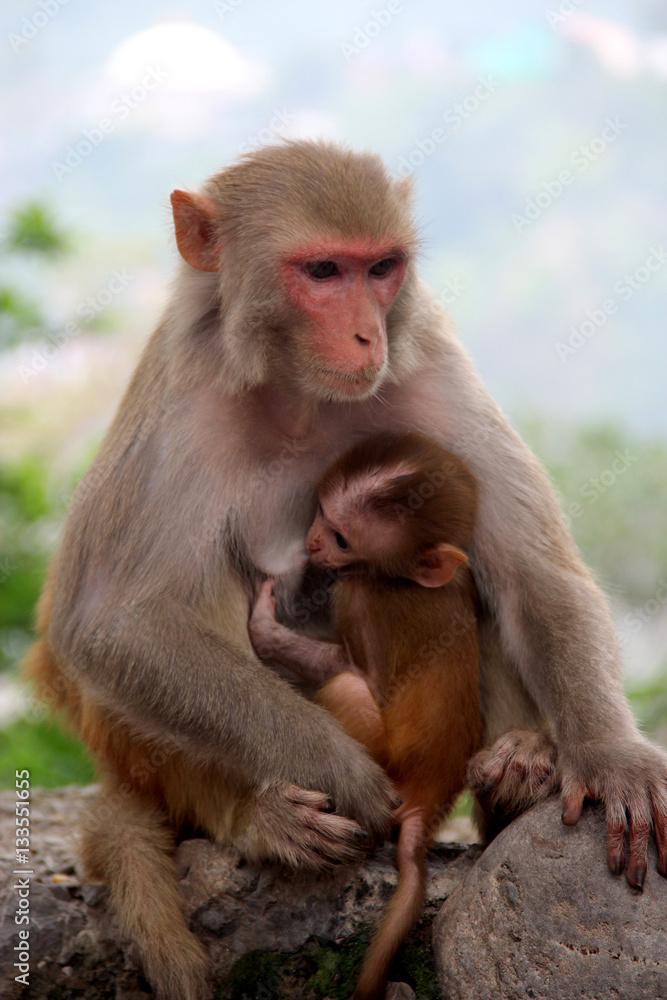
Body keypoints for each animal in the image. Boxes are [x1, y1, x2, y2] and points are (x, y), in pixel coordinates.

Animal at [250, 432, 480, 1000]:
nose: (312, 543)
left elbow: (359, 673)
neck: (405, 581)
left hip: (387, 772)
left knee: (348, 687)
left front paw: (265, 627)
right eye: (320, 513)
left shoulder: (361, 596)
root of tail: (429, 796)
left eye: (341, 538)